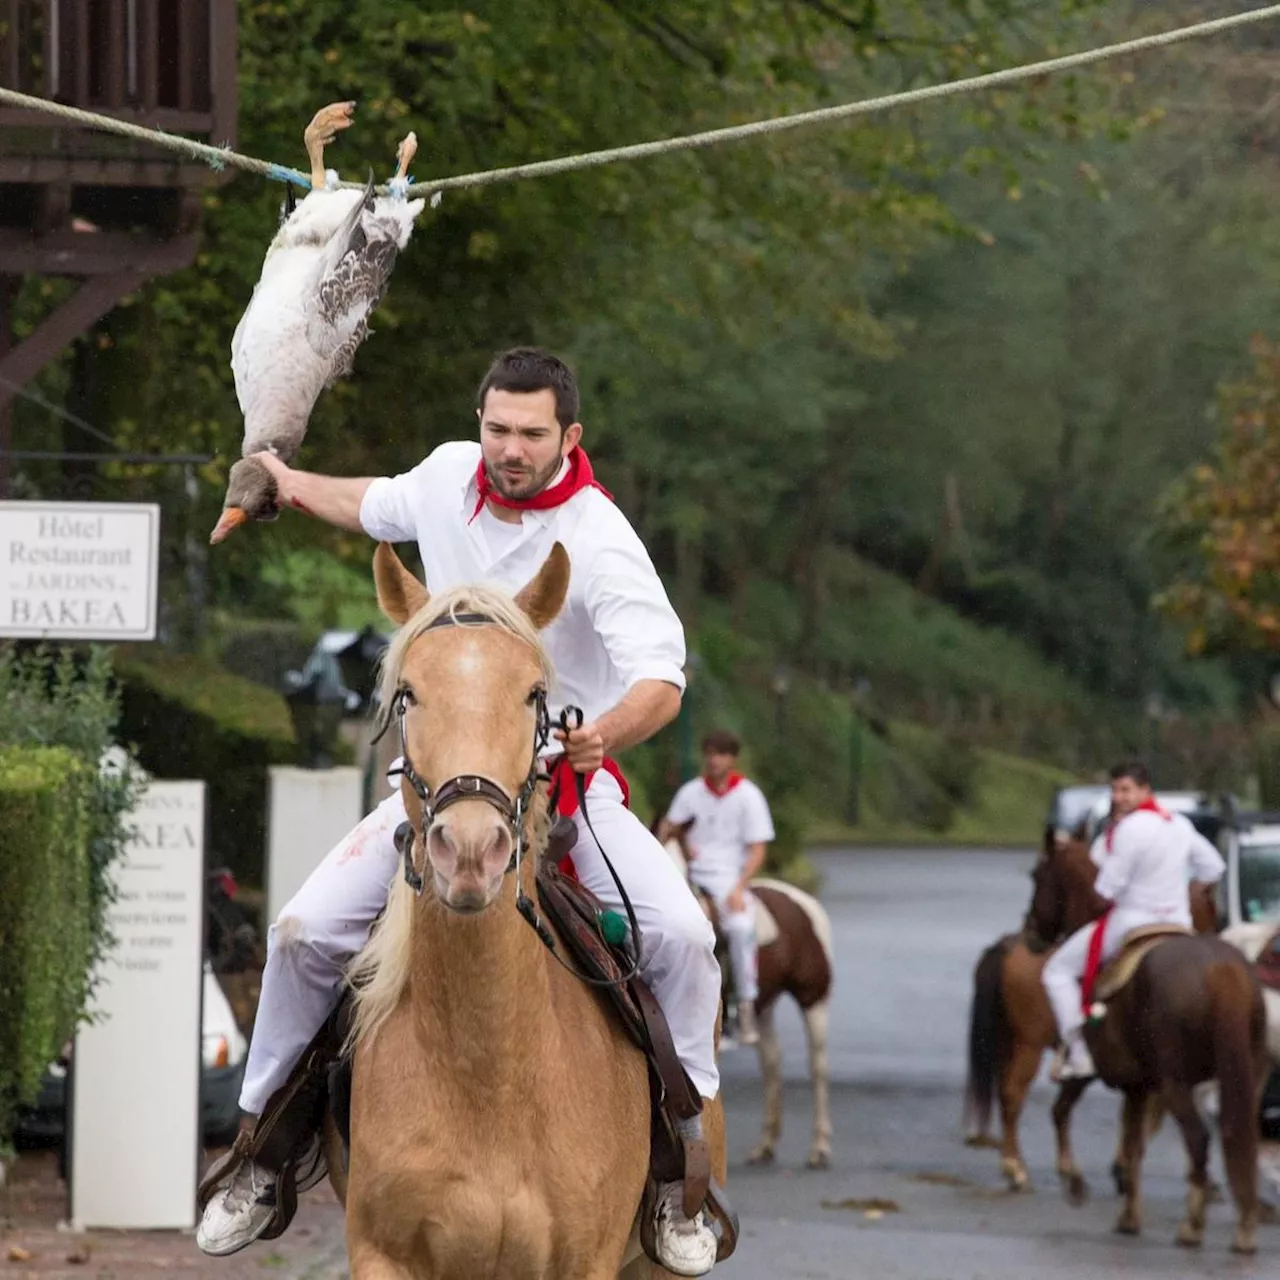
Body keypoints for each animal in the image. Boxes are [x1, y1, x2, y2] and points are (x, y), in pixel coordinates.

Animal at [327, 542, 732, 1280]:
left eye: (533, 694)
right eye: (408, 694)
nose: (469, 849)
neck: (490, 1074)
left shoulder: (586, 1260)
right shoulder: (382, 1255)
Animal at [962, 834, 1218, 1192]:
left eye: (1036, 875)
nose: (1033, 933)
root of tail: (1007, 946)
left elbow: (1124, 1114)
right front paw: (1123, 1168)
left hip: (1010, 1043)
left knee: (1009, 1095)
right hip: (1027, 1045)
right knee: (1013, 1095)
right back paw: (1017, 1168)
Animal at [1024, 839, 1264, 1249]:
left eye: (1037, 876)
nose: (1030, 933)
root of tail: (1222, 970)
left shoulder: (1089, 1075)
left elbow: (1060, 1112)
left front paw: (1073, 1181)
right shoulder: (1138, 1086)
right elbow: (1134, 1145)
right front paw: (1129, 1216)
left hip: (1176, 1083)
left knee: (1198, 1138)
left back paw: (1192, 1225)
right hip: (1242, 1078)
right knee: (1237, 1136)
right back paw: (1244, 1224)